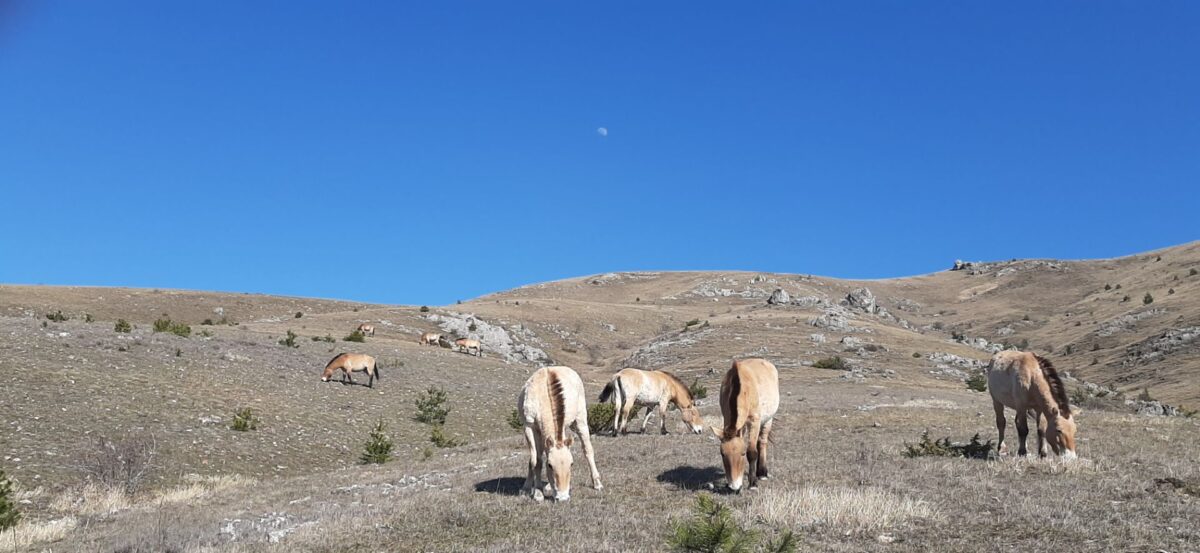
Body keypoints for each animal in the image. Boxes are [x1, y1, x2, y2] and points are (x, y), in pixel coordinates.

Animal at [517, 365, 603, 502]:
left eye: (571, 464)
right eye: (550, 465)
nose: (563, 498)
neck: (543, 396)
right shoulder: (529, 427)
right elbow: (536, 460)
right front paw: (537, 492)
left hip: (580, 420)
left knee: (587, 450)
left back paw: (597, 483)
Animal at [710, 358, 779, 492]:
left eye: (742, 453)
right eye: (723, 454)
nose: (734, 486)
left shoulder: (754, 420)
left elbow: (752, 452)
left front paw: (752, 484)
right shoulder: (727, 418)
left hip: (768, 420)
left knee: (762, 442)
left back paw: (762, 473)